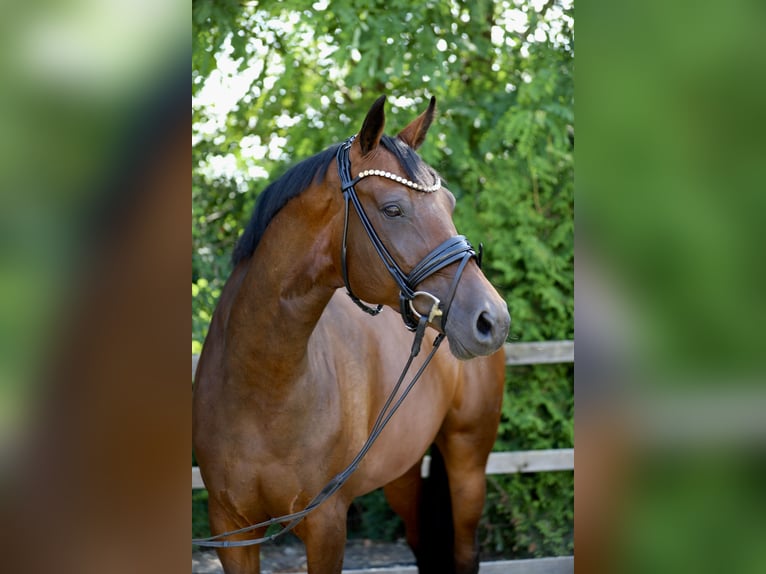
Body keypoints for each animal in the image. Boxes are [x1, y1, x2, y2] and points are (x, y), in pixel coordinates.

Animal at [195, 95, 512, 574]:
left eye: (450, 203)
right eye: (393, 209)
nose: (492, 319)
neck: (262, 387)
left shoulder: (326, 523)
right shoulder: (231, 528)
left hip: (469, 463)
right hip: (402, 471)